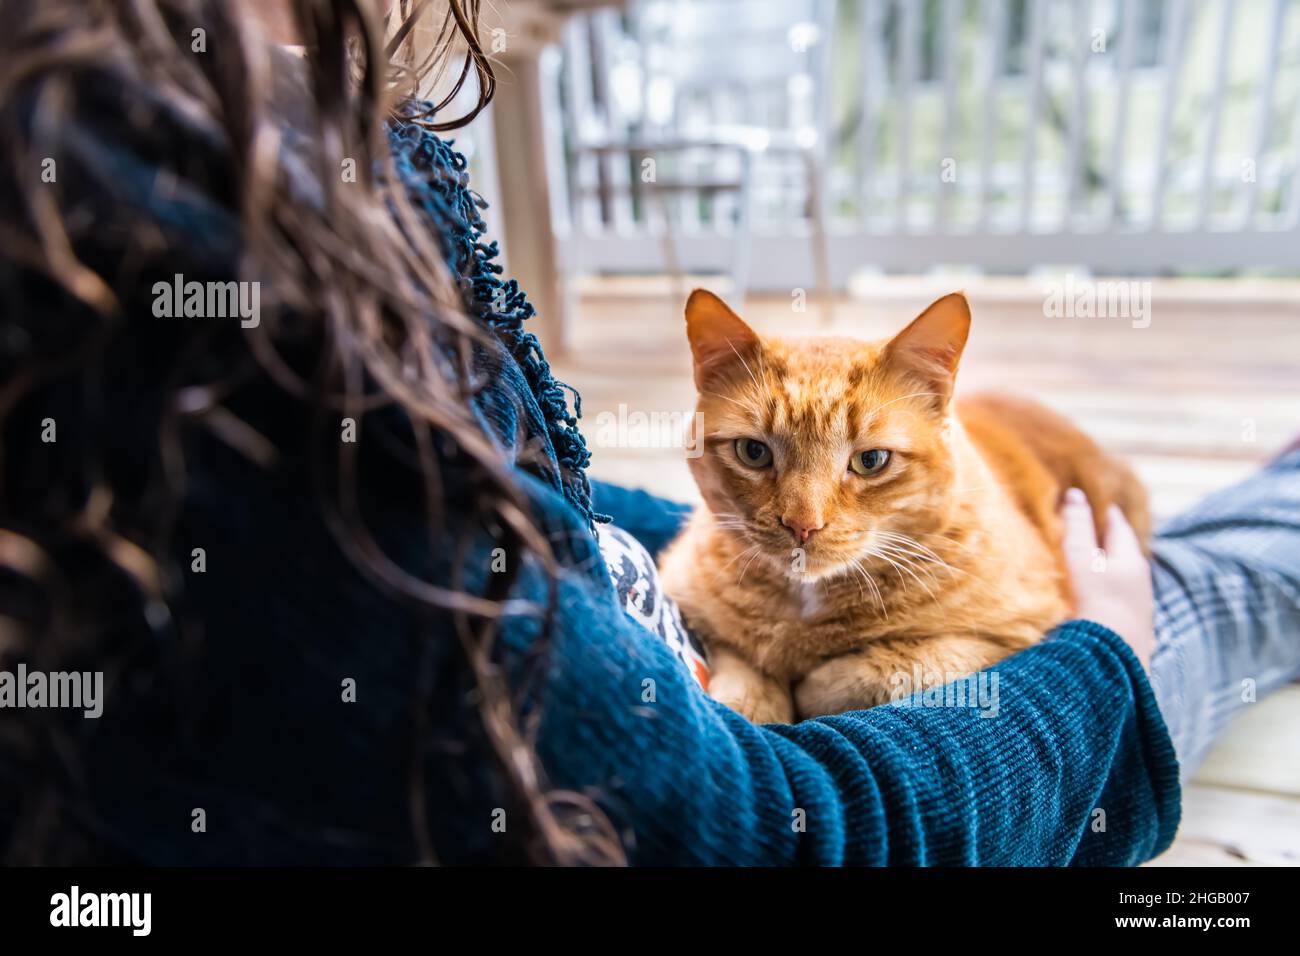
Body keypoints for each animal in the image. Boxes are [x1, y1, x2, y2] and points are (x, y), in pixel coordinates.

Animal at [660, 287, 1149, 723]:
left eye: (871, 460)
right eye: (753, 452)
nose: (802, 524)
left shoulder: (1018, 633)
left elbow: (899, 666)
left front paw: (812, 686)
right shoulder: (691, 598)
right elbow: (741, 666)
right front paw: (753, 702)